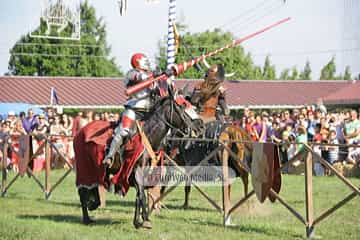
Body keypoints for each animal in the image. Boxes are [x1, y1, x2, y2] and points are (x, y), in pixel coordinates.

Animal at [74, 92, 201, 229]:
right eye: (181, 107)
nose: (198, 127)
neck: (149, 136)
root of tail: (79, 132)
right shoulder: (136, 172)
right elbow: (141, 196)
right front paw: (145, 220)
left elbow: (139, 197)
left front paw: (138, 221)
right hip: (84, 168)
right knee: (82, 191)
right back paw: (86, 218)